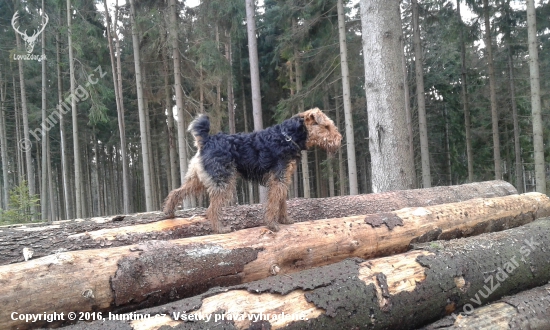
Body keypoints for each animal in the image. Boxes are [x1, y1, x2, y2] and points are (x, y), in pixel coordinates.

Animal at [163, 107, 340, 232]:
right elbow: (274, 202)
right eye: (326, 126)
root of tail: (206, 141)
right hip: (223, 181)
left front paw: (285, 220)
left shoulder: (283, 177)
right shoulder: (278, 178)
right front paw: (272, 225)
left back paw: (169, 212)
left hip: (200, 179)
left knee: (176, 192)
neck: (288, 138)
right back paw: (220, 229)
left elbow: (281, 201)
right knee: (212, 209)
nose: (339, 139)